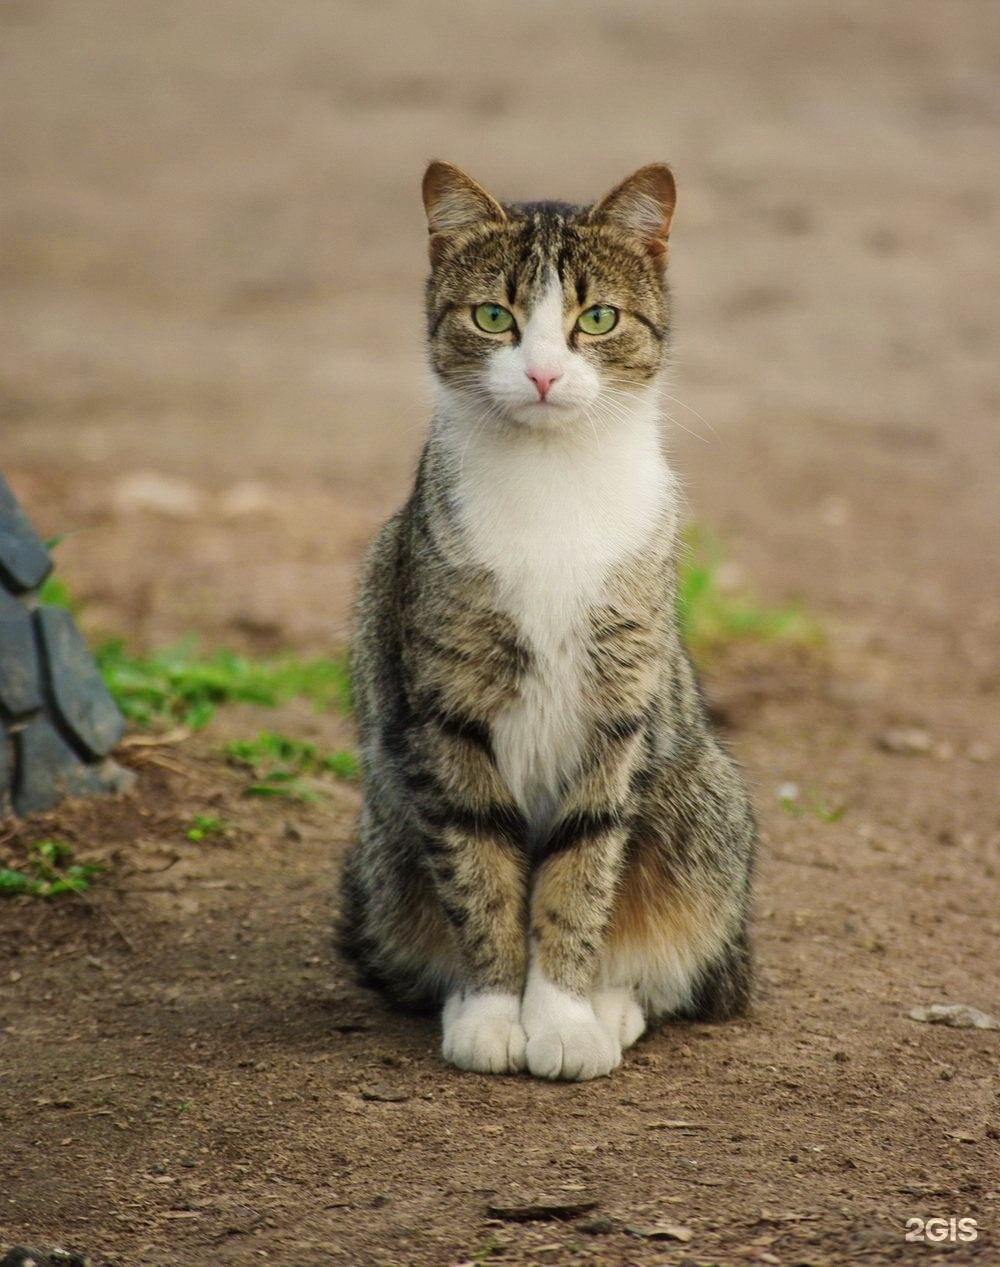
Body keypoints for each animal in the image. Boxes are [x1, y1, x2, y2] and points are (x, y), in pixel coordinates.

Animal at [339, 163, 755, 1084]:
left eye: (596, 319)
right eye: (494, 316)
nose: (541, 376)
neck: (553, 478)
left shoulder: (617, 711)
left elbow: (580, 871)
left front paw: (561, 1017)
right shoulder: (445, 708)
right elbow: (480, 868)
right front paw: (495, 1011)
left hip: (703, 814)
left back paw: (610, 1007)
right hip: (385, 835)